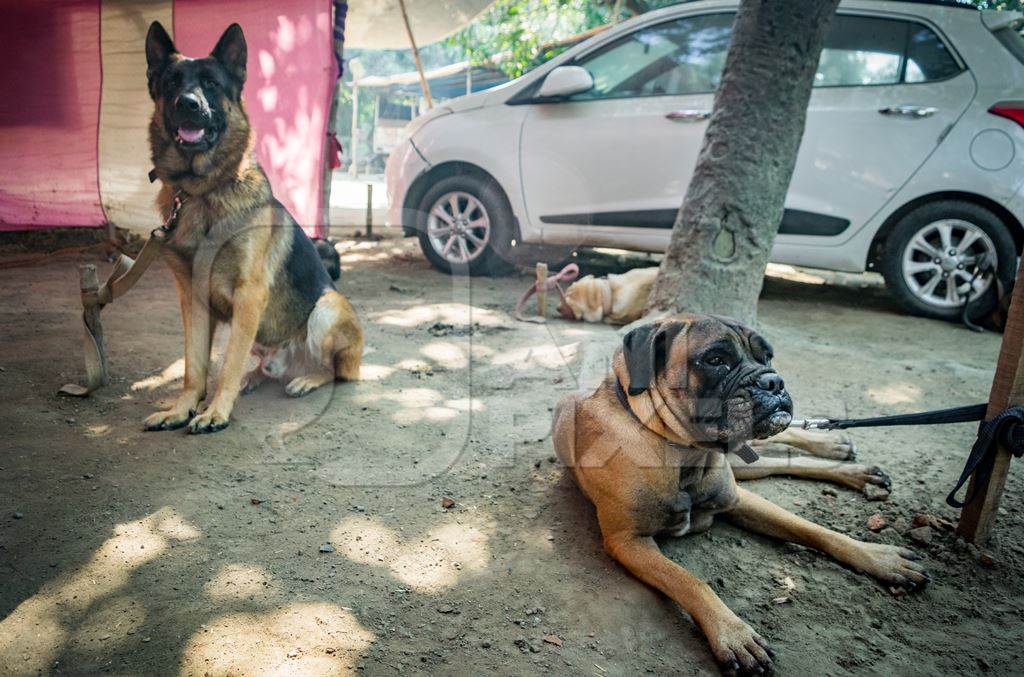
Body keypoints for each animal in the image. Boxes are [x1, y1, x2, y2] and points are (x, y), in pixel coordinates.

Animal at [144, 22, 364, 432]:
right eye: (171, 83)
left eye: (211, 83)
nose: (188, 103)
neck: (203, 191)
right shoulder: (192, 298)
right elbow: (194, 366)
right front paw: (181, 408)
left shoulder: (249, 295)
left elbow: (227, 363)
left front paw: (215, 411)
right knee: (261, 364)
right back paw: (256, 377)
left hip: (326, 308)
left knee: (335, 371)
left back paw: (306, 378)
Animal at [552, 313, 929, 671]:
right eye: (716, 359)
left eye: (768, 356)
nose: (773, 380)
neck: (683, 451)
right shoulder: (629, 542)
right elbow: (689, 580)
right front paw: (733, 634)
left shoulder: (737, 500)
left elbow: (812, 529)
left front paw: (878, 557)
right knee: (780, 461)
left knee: (787, 443)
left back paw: (841, 452)